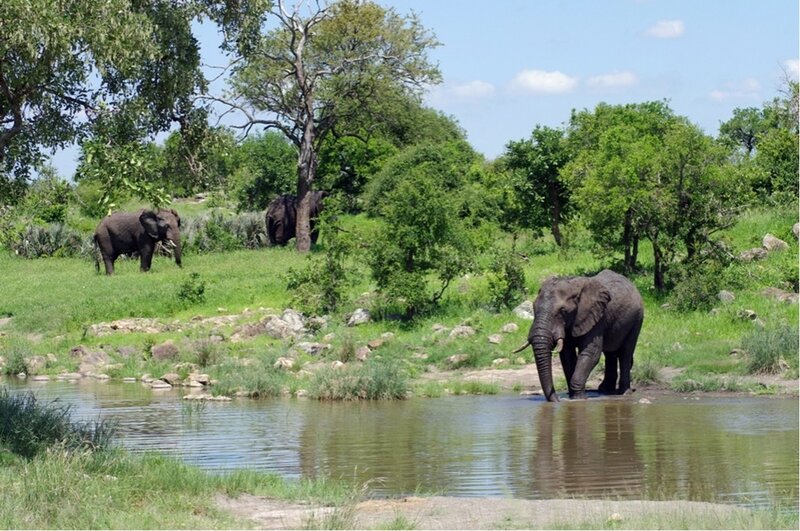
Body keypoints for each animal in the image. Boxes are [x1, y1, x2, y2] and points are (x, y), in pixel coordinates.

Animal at [514, 269, 644, 402]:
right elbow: (567, 355)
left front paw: (578, 399)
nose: (557, 400)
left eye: (563, 311)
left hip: (637, 319)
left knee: (625, 352)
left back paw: (624, 393)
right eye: (533, 308)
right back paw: (606, 390)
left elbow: (590, 353)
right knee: (610, 353)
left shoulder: (596, 317)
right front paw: (573, 397)